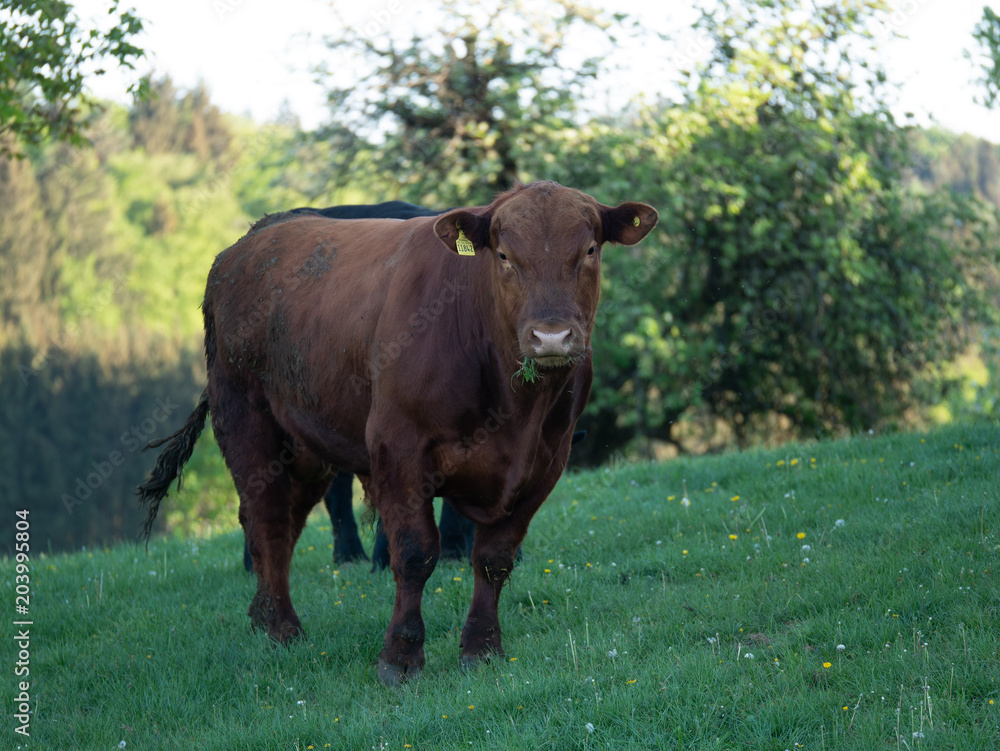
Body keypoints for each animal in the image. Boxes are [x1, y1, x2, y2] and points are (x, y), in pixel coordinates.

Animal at [139, 182, 656, 688]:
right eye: (505, 255)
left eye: (590, 250)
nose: (551, 337)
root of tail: (252, 240)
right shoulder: (399, 449)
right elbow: (413, 553)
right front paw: (401, 657)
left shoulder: (546, 460)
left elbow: (495, 556)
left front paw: (482, 648)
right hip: (246, 419)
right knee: (265, 518)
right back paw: (283, 628)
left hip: (305, 444)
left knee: (284, 523)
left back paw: (264, 617)